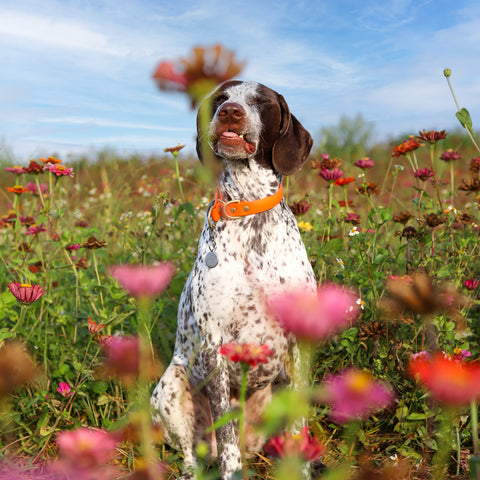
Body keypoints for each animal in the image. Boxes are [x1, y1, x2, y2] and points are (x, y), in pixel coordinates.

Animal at [150, 80, 316, 478]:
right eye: (221, 99)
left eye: (260, 101)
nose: (230, 112)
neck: (248, 207)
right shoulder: (214, 345)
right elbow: (226, 436)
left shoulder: (299, 341)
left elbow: (299, 424)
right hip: (169, 387)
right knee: (192, 451)